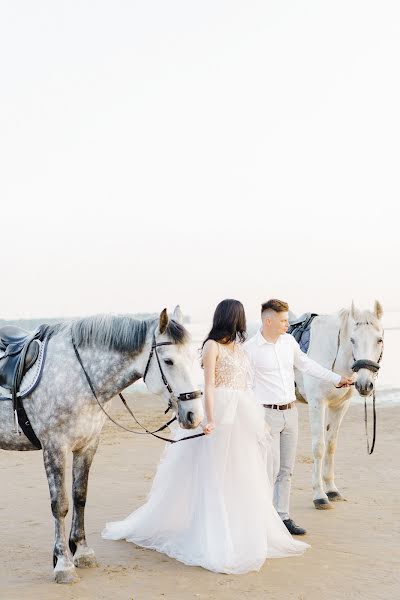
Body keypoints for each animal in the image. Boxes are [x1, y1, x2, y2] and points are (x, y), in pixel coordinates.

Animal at [0, 304, 202, 580]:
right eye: (169, 361)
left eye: (196, 357)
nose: (194, 415)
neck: (76, 375)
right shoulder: (55, 447)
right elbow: (60, 505)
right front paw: (63, 563)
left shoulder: (87, 446)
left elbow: (80, 497)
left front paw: (82, 552)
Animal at [294, 302, 384, 508]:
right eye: (352, 340)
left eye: (379, 340)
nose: (365, 385)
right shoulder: (317, 403)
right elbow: (318, 447)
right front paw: (319, 495)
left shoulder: (340, 406)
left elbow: (331, 445)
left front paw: (332, 490)